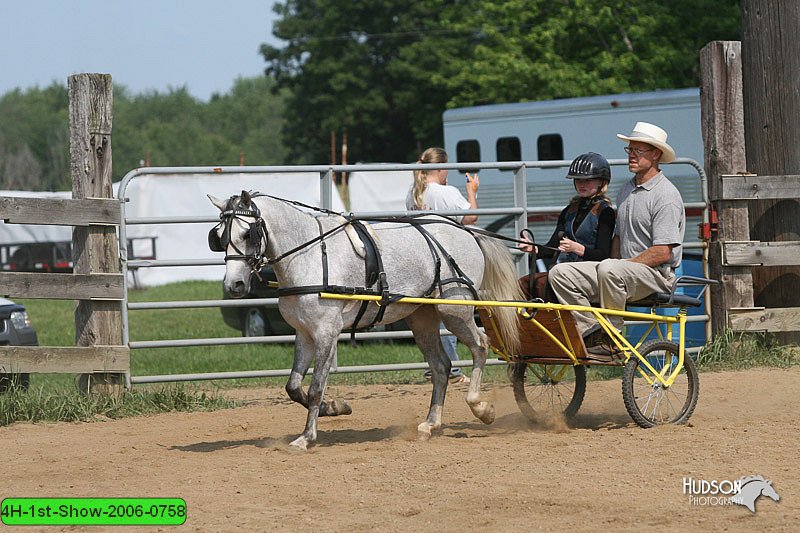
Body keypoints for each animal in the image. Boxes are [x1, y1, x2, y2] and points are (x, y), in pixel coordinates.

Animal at [209, 191, 520, 448]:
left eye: (247, 234)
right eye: (219, 236)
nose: (234, 285)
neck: (310, 255)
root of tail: (465, 231)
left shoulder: (326, 332)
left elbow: (316, 386)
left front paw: (307, 437)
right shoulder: (304, 333)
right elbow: (294, 387)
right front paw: (335, 407)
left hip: (455, 310)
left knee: (480, 346)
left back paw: (481, 407)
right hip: (422, 319)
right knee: (441, 367)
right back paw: (430, 424)